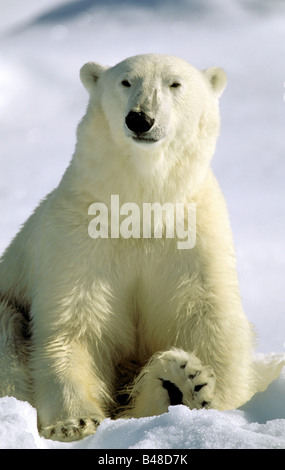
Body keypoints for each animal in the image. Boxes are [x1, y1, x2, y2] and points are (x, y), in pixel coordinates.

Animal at [0, 54, 255, 440]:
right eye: (125, 82)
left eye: (174, 83)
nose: (140, 118)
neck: (140, 207)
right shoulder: (77, 239)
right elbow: (73, 328)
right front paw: (74, 421)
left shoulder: (192, 236)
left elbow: (208, 319)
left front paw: (213, 396)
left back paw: (180, 381)